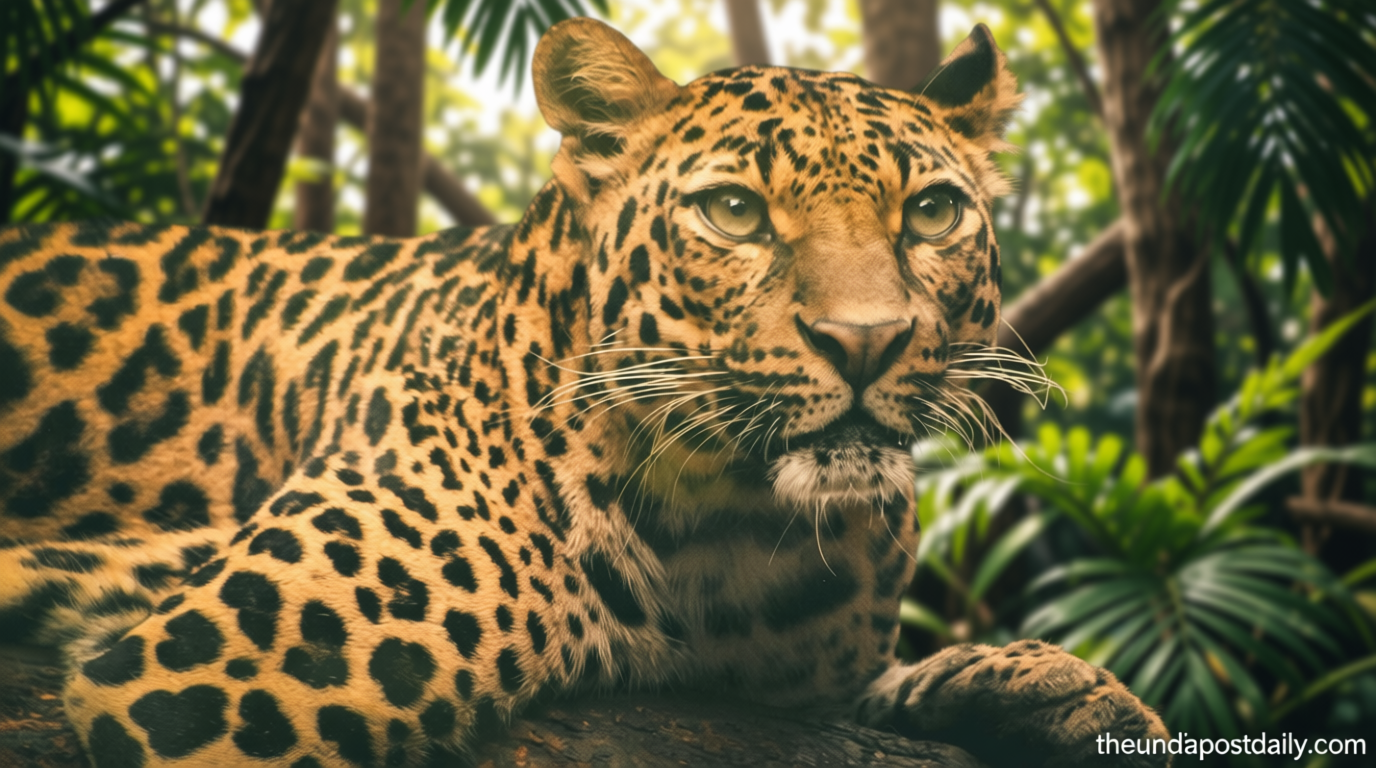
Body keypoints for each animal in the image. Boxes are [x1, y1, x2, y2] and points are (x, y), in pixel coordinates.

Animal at [0, 17, 1169, 768]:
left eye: (931, 212)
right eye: (734, 213)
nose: (865, 342)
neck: (737, 535)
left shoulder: (806, 678)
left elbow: (897, 682)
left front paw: (1064, 689)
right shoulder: (212, 683)